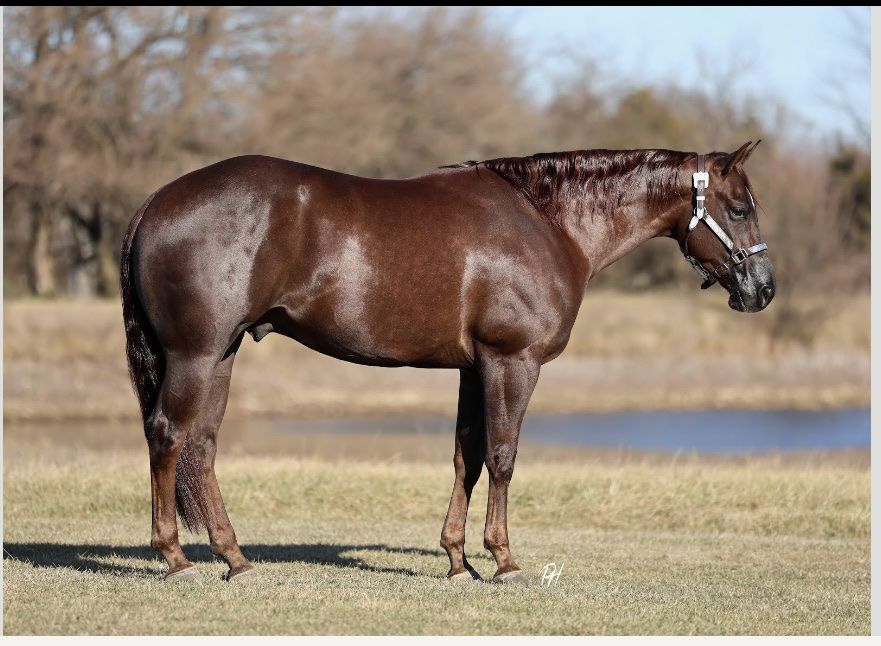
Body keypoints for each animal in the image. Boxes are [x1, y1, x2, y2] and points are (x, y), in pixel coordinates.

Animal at [120, 141, 774, 584]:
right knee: (168, 435)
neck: (547, 222)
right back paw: (175, 558)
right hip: (195, 355)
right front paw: (504, 560)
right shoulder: (513, 362)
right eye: (740, 208)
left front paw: (459, 561)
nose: (763, 289)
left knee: (202, 445)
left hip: (221, 355)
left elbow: (468, 457)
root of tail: (154, 201)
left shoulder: (473, 367)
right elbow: (504, 457)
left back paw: (235, 558)